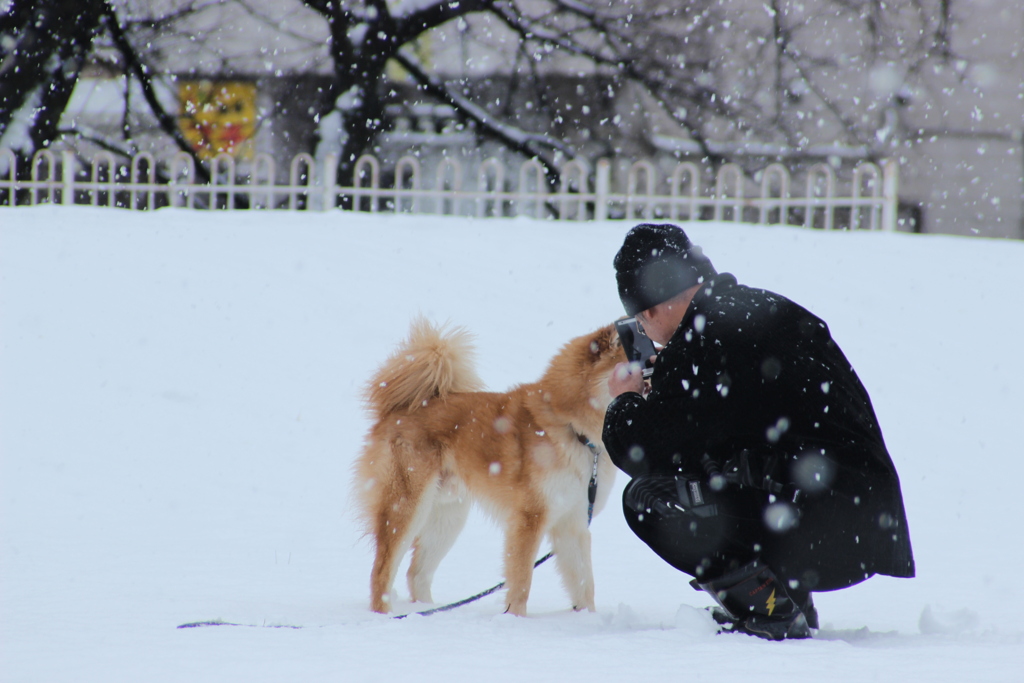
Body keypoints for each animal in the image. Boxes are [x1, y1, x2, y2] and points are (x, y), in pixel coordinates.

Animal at [356, 317, 618, 618]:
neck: (572, 428)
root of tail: (401, 409)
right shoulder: (529, 518)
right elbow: (521, 579)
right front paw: (515, 619)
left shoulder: (572, 522)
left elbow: (585, 583)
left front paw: (588, 619)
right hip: (407, 507)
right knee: (381, 571)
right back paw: (386, 615)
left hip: (448, 517)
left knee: (416, 573)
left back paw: (428, 611)